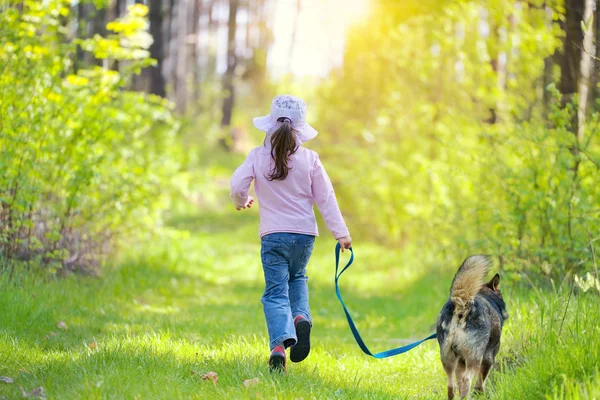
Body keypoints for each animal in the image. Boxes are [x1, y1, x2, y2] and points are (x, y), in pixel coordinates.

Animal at [434, 255, 508, 398]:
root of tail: (462, 306)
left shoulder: (460, 361)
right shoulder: (488, 356)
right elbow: (481, 380)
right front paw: (480, 393)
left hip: (448, 358)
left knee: (451, 386)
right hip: (475, 356)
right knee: (466, 379)